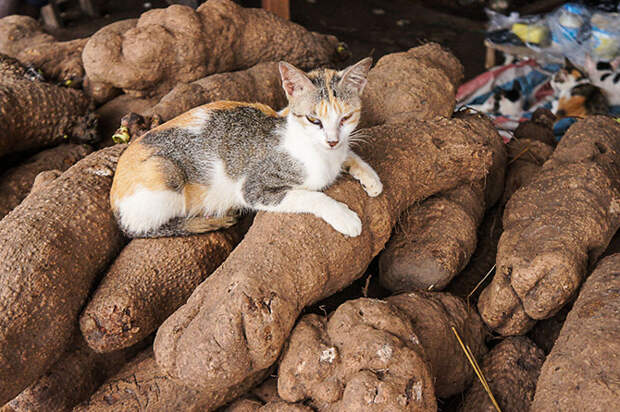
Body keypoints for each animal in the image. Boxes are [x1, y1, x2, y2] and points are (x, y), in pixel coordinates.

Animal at [111, 57, 382, 238]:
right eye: (314, 120)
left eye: (345, 118)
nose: (332, 140)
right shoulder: (253, 188)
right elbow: (311, 195)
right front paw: (344, 216)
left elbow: (350, 153)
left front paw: (371, 179)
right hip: (164, 174)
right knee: (138, 230)